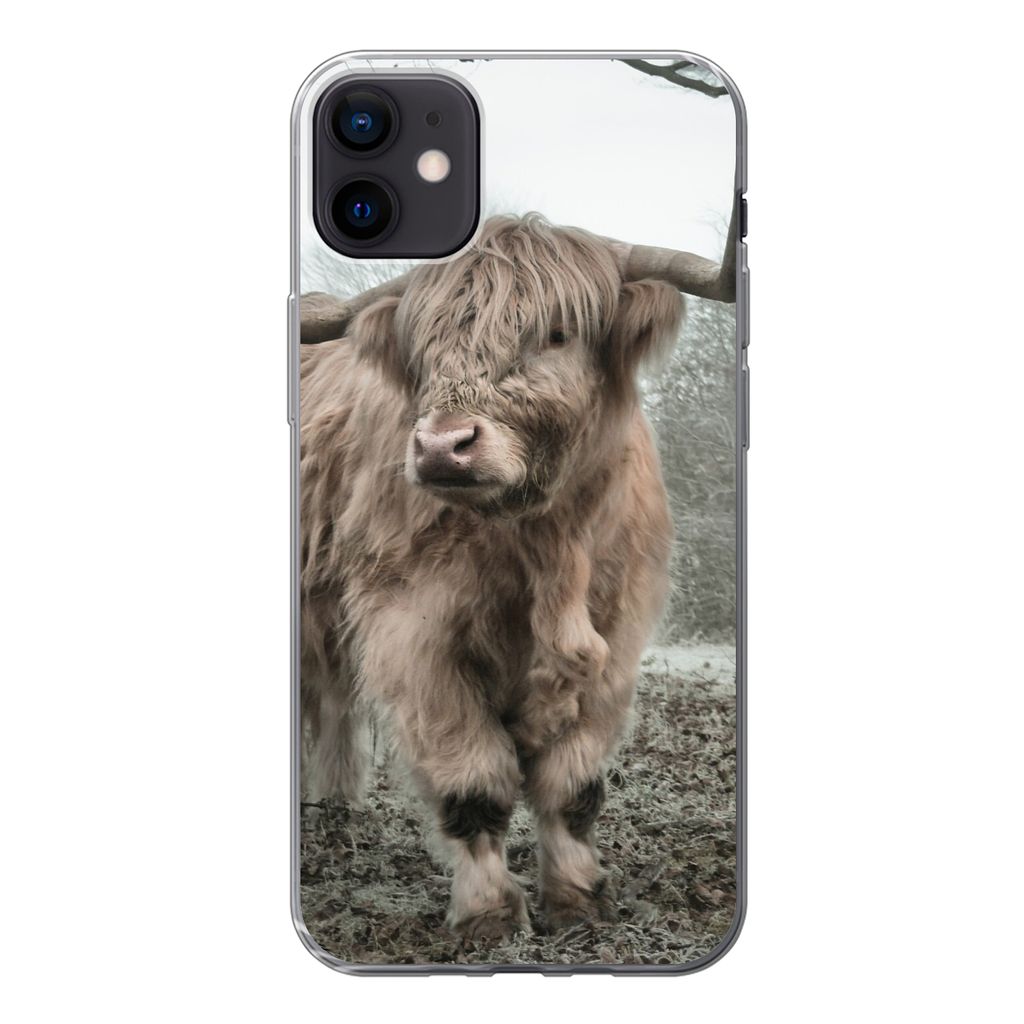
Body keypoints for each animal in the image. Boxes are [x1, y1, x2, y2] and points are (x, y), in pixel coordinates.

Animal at [299, 211, 736, 941]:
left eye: (557, 333)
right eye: (424, 346)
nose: (441, 447)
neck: (546, 550)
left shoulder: (617, 640)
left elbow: (573, 787)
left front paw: (580, 900)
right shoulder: (413, 636)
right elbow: (474, 784)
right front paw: (489, 915)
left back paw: (332, 816)